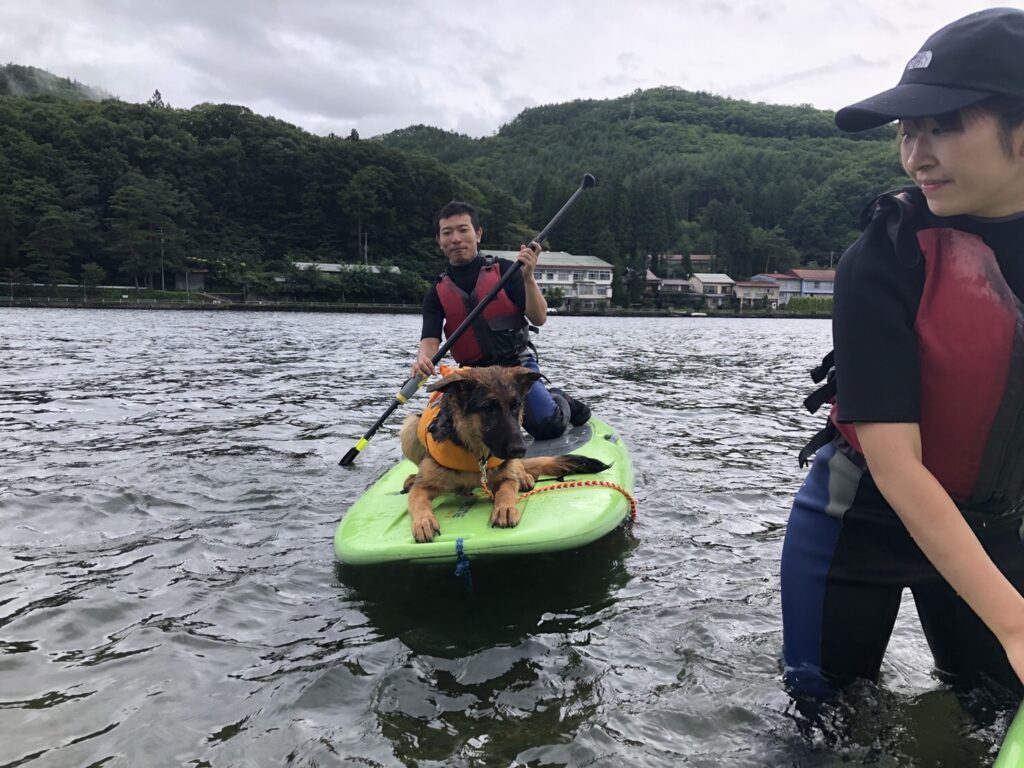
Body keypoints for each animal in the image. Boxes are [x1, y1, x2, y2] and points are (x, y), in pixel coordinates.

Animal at [397, 364, 606, 540]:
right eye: (489, 408)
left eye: (516, 406)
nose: (521, 450)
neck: (477, 455)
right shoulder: (423, 488)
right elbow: (418, 501)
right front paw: (423, 521)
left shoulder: (506, 476)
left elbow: (506, 490)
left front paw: (505, 508)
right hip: (409, 427)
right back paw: (412, 478)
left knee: (518, 469)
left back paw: (524, 477)